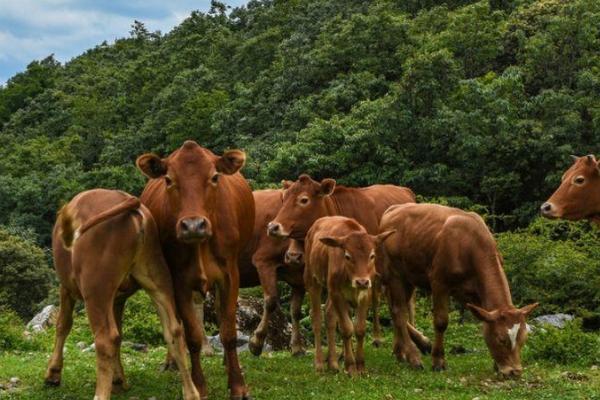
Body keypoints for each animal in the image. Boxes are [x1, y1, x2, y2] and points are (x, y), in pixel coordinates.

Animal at [45, 189, 199, 400]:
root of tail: (130, 201)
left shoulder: (66, 287)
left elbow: (63, 325)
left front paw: (53, 374)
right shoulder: (118, 298)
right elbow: (119, 334)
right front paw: (118, 380)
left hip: (96, 288)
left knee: (106, 338)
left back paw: (100, 394)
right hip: (158, 275)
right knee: (174, 330)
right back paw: (191, 392)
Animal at [137, 141, 254, 400]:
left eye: (214, 177)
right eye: (169, 180)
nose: (193, 225)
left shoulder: (230, 275)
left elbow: (228, 332)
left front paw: (238, 385)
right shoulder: (179, 280)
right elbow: (191, 336)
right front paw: (198, 385)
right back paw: (171, 362)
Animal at [304, 216, 398, 376]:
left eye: (372, 256)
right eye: (347, 256)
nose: (362, 281)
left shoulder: (366, 293)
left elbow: (359, 328)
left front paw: (360, 366)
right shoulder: (336, 292)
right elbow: (346, 329)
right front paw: (350, 366)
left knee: (329, 314)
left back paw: (333, 363)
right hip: (312, 280)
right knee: (316, 318)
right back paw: (319, 363)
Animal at [380, 205, 540, 376]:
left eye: (523, 339)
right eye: (501, 339)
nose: (515, 371)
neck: (468, 244)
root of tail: (393, 209)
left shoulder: (477, 294)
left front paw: (496, 365)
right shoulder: (439, 283)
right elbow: (441, 322)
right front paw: (438, 361)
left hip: (409, 277)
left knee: (395, 309)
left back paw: (400, 352)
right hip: (394, 274)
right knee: (399, 312)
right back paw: (413, 357)